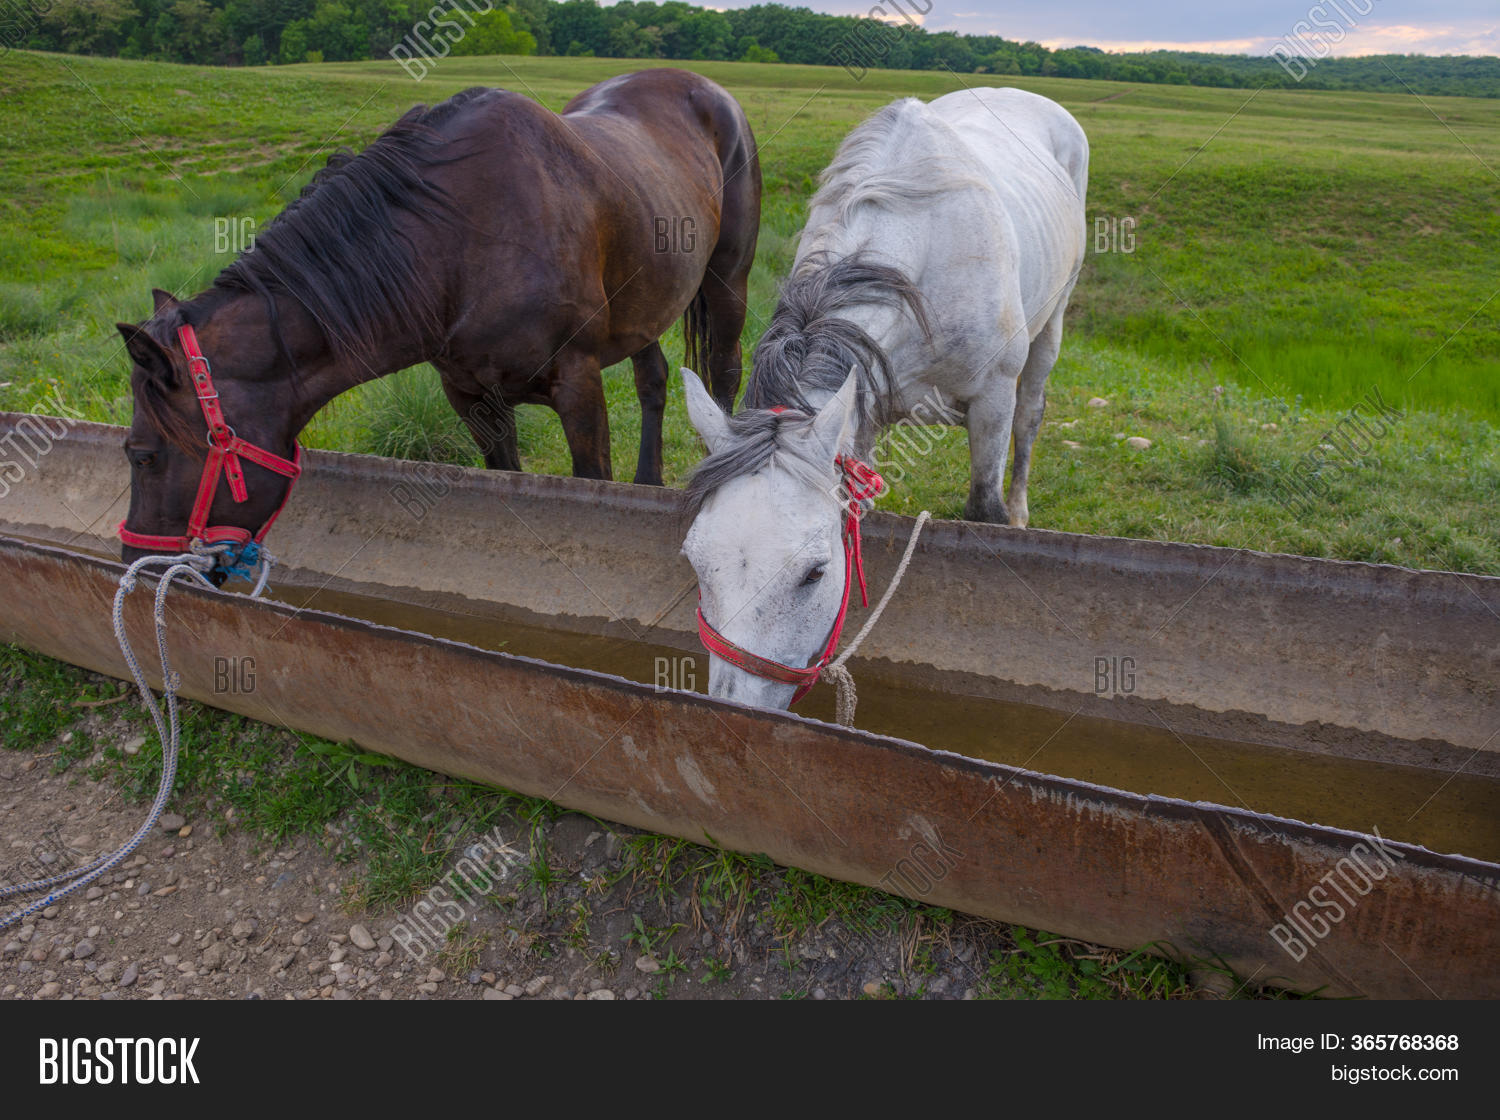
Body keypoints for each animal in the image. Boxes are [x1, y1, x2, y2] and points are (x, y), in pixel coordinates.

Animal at [117, 68, 760, 575]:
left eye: (142, 455)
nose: (138, 564)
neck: (459, 239)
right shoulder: (472, 397)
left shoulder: (578, 386)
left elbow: (591, 480)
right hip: (643, 305)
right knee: (652, 378)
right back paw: (648, 483)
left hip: (727, 282)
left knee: (724, 374)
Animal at [678, 87, 1088, 710]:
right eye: (696, 561)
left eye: (814, 573)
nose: (731, 713)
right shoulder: (861, 418)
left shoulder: (992, 400)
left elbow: (984, 504)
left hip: (1053, 326)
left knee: (1032, 416)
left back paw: (1022, 509)